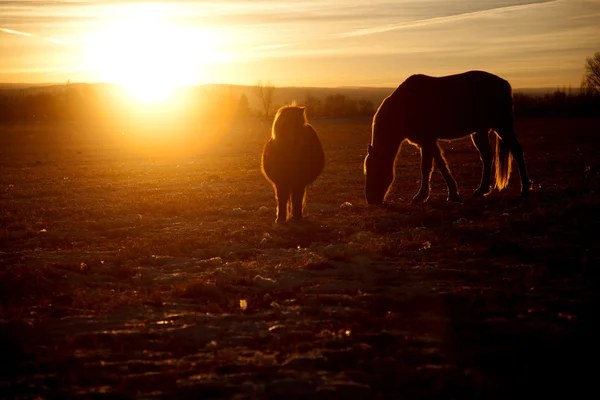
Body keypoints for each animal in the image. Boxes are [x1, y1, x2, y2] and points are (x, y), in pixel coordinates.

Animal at [364, 69, 532, 205]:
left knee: (516, 150)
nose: (371, 200)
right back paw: (481, 190)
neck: (404, 106)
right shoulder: (427, 142)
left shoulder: (427, 141)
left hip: (502, 126)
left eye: (376, 169)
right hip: (480, 132)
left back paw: (525, 189)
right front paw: (452, 193)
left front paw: (421, 196)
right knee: (487, 155)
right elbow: (441, 164)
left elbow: (426, 167)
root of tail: (505, 84)